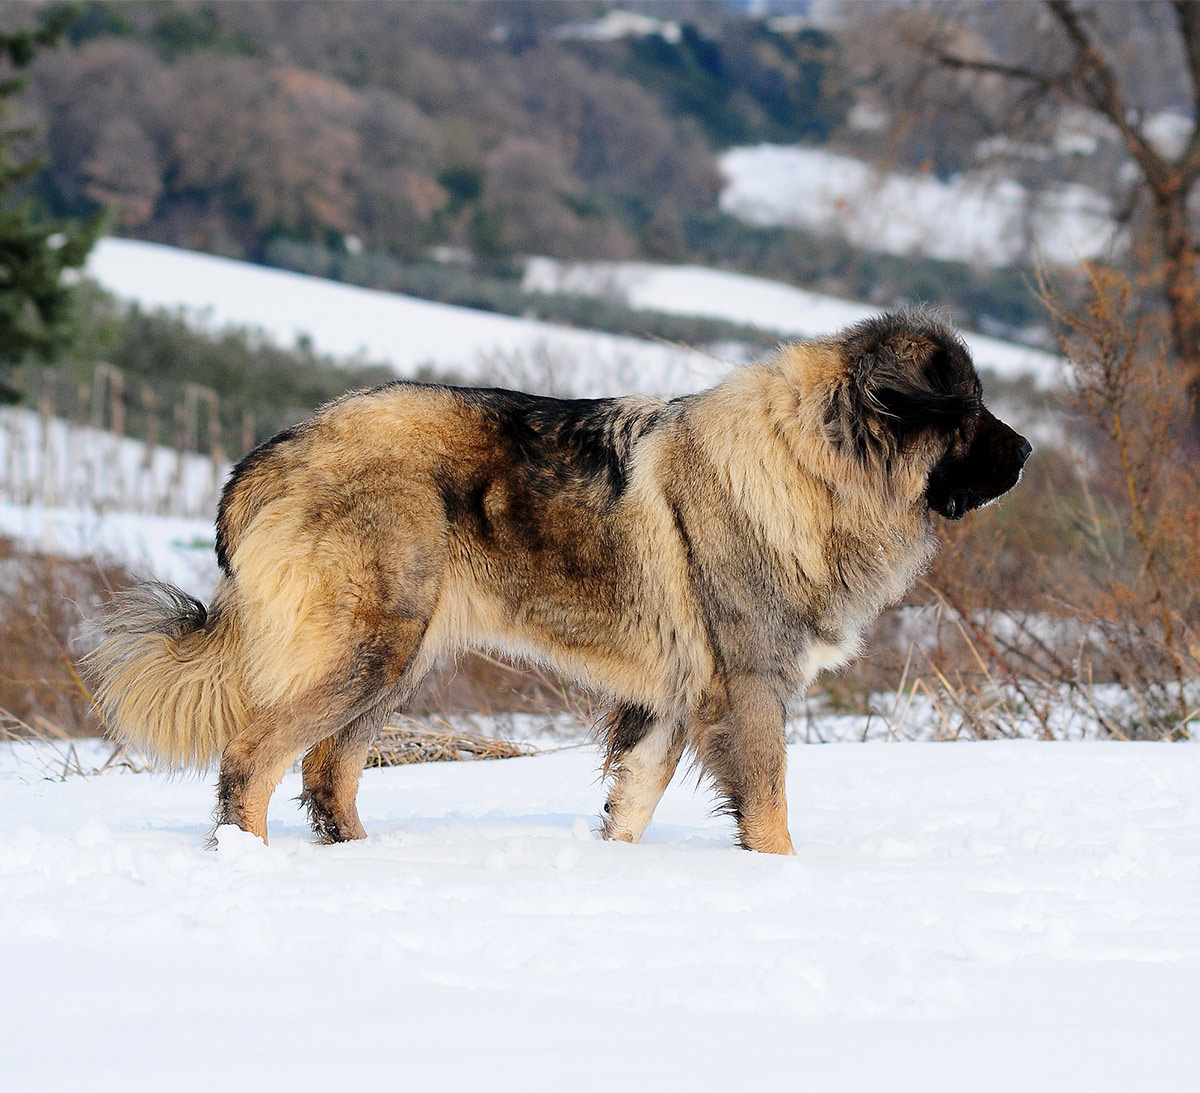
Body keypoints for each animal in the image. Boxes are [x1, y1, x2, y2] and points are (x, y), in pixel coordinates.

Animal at [84, 309, 1027, 854]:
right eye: (969, 409)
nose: (1026, 452)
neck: (811, 462)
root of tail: (269, 456)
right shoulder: (749, 686)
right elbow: (770, 809)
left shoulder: (673, 698)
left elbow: (633, 799)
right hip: (368, 648)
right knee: (254, 758)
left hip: (399, 660)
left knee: (326, 768)